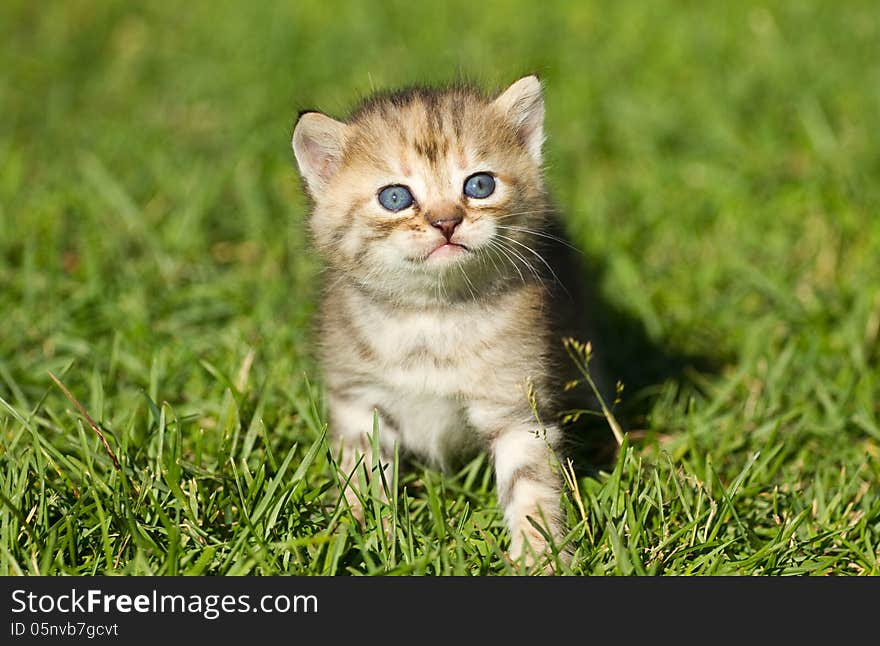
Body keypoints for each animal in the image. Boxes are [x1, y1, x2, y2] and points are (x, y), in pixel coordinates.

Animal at [290, 77, 592, 572]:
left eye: (480, 184)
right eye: (395, 197)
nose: (447, 221)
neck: (432, 315)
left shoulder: (515, 405)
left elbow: (530, 485)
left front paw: (538, 556)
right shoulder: (360, 401)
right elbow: (363, 474)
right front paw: (362, 534)